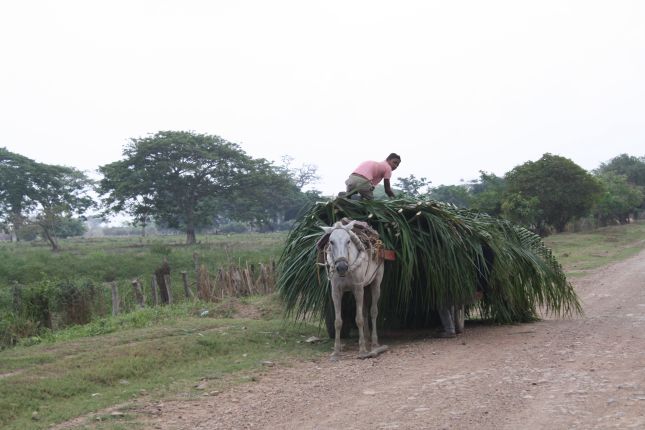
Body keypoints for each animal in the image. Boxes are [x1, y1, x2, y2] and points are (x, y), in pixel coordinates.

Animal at [318, 222, 388, 360]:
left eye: (348, 241)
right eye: (331, 241)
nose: (341, 267)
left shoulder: (358, 289)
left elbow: (359, 319)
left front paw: (362, 351)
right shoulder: (336, 292)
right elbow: (338, 322)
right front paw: (336, 352)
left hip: (376, 283)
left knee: (373, 312)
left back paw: (374, 343)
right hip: (365, 287)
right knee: (365, 311)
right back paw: (366, 338)